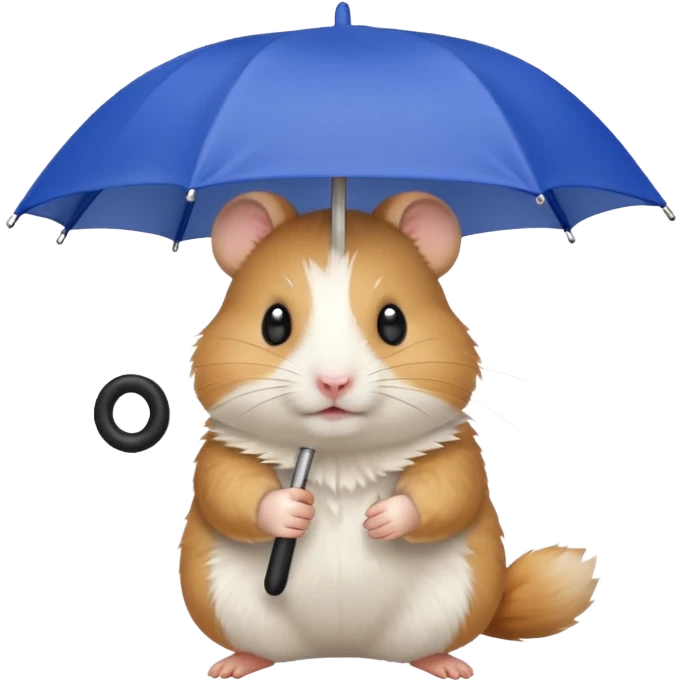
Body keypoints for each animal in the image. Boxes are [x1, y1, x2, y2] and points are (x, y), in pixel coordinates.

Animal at [178, 190, 599, 680]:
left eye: (393, 322)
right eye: (274, 322)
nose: (334, 383)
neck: (337, 453)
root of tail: (341, 647)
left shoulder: (454, 447)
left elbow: (449, 491)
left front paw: (384, 519)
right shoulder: (223, 450)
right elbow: (228, 492)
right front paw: (288, 509)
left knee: (430, 645)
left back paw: (445, 664)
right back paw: (236, 663)